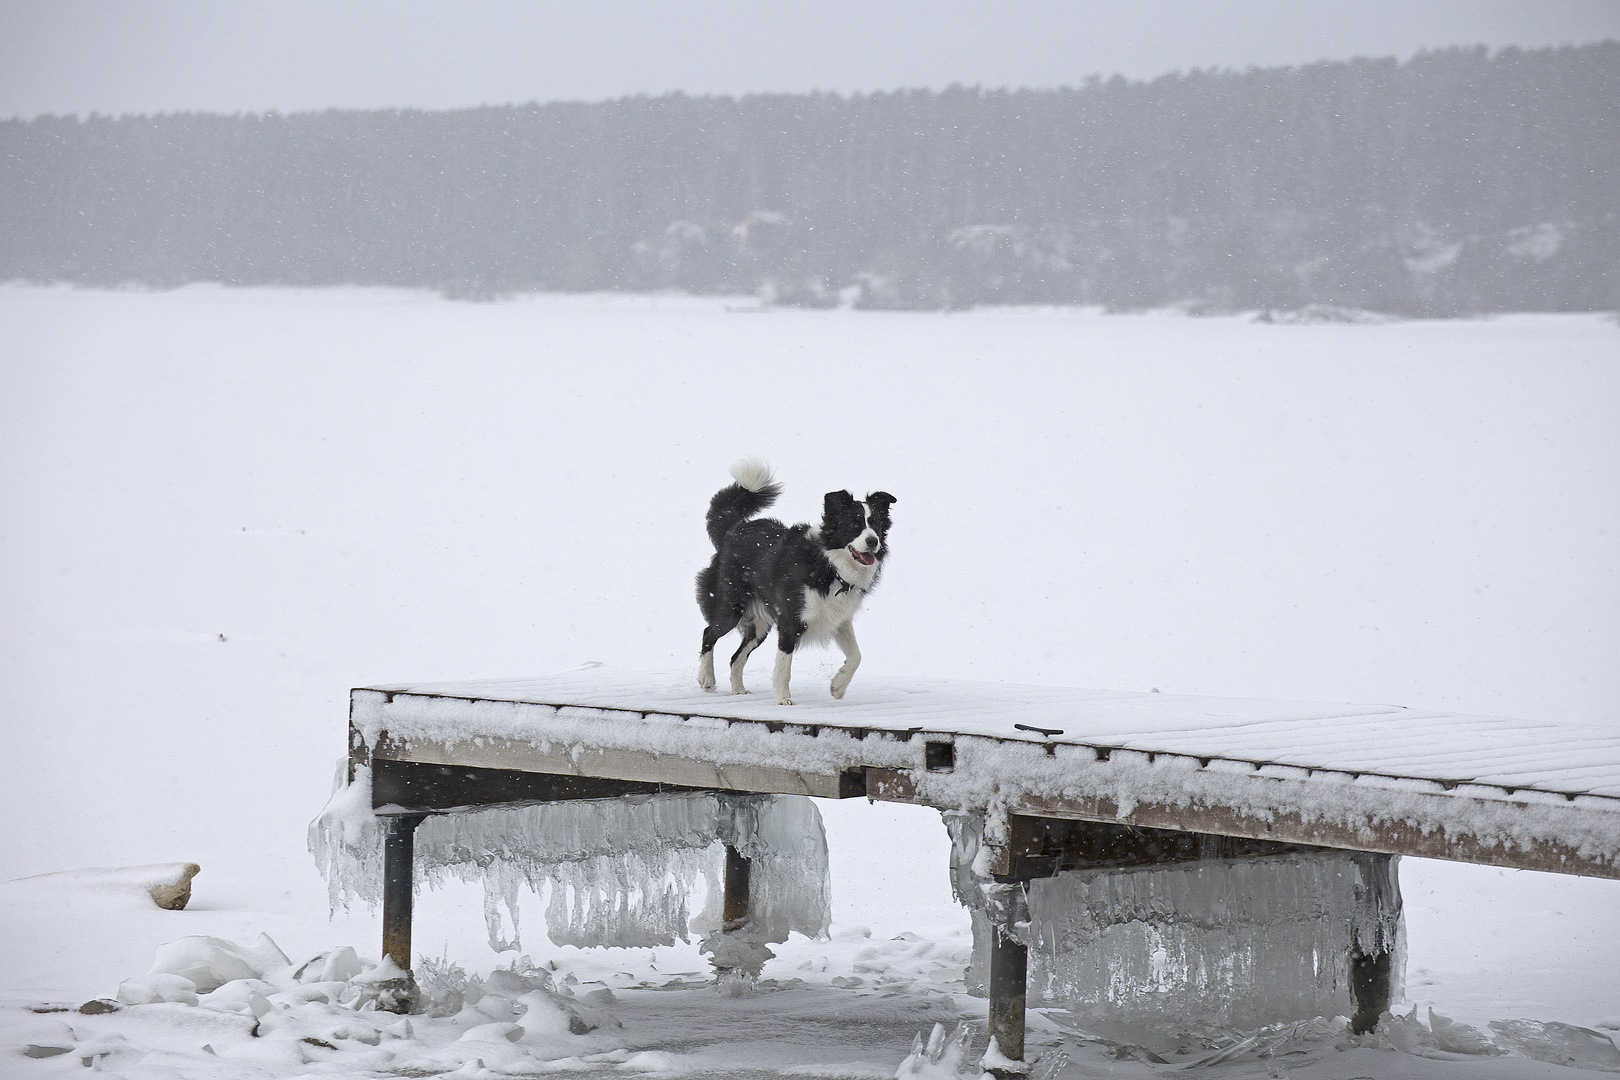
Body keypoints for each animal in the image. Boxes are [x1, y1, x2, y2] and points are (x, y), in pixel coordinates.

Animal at [696, 459, 900, 705]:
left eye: (877, 525)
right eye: (854, 525)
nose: (873, 541)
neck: (829, 565)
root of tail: (733, 530)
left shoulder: (839, 618)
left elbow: (856, 655)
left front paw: (838, 686)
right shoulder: (790, 620)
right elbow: (785, 666)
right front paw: (783, 699)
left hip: (760, 625)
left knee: (736, 657)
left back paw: (738, 690)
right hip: (731, 605)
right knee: (709, 631)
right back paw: (707, 677)